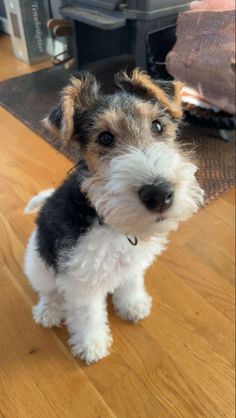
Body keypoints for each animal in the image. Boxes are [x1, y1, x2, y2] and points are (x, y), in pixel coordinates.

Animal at [24, 68, 205, 362]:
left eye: (157, 126)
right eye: (105, 138)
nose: (159, 194)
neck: (111, 224)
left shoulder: (132, 261)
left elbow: (131, 282)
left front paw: (133, 305)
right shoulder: (81, 282)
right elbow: (88, 316)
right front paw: (91, 345)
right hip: (38, 264)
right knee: (48, 292)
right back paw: (48, 312)